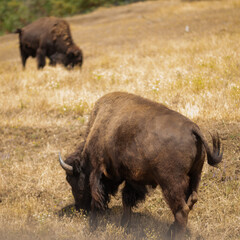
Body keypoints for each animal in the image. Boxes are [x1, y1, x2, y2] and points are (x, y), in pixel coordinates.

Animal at [58, 92, 223, 240]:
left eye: (71, 180)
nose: (80, 208)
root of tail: (193, 129)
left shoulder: (98, 171)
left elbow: (98, 199)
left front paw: (93, 227)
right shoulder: (132, 179)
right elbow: (127, 200)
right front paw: (124, 225)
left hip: (171, 183)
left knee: (181, 210)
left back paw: (173, 235)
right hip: (195, 176)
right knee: (191, 201)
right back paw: (171, 230)